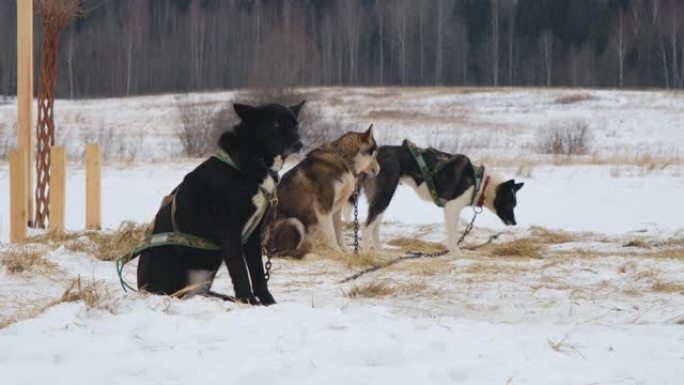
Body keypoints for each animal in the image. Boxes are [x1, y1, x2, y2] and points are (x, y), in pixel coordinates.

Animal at [135, 100, 304, 304]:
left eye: (295, 124)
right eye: (277, 124)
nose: (300, 144)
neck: (252, 162)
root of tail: (140, 287)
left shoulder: (253, 235)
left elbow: (258, 274)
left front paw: (268, 303)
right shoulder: (230, 231)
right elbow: (240, 272)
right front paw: (248, 300)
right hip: (172, 261)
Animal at [272, 126, 380, 258]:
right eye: (375, 155)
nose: (379, 170)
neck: (344, 160)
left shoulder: (337, 208)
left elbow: (338, 232)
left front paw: (345, 251)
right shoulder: (324, 207)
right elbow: (331, 234)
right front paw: (337, 251)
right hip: (294, 222)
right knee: (279, 252)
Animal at [358, 140, 524, 252]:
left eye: (515, 205)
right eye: (509, 203)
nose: (515, 222)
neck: (480, 184)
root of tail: (377, 153)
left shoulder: (449, 210)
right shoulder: (451, 208)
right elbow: (453, 236)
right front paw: (457, 254)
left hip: (382, 199)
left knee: (374, 228)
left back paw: (380, 252)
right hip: (384, 196)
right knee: (366, 228)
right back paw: (368, 256)